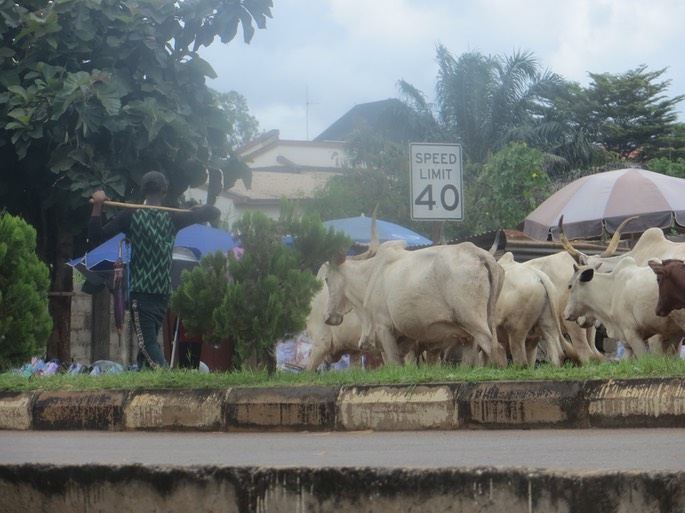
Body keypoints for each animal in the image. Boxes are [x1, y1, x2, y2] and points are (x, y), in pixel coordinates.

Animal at [324, 238, 504, 366]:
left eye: (326, 279)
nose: (328, 317)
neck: (370, 276)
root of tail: (476, 252)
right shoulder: (405, 336)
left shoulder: (384, 327)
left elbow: (394, 364)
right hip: (472, 330)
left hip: (472, 320)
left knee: (496, 349)